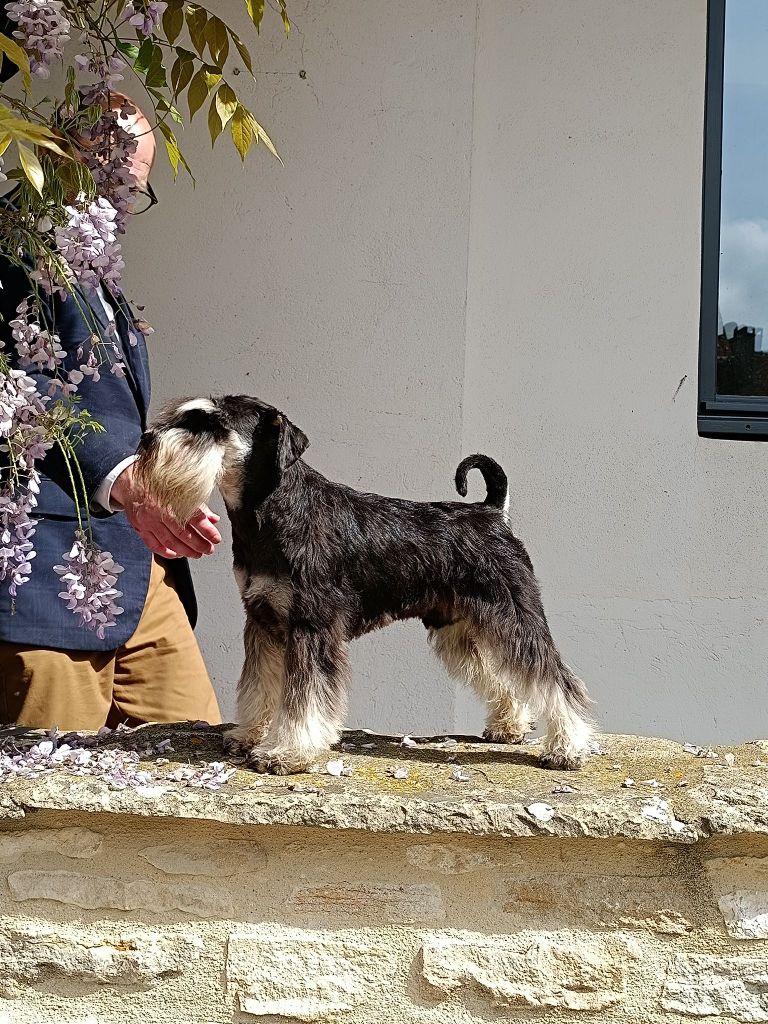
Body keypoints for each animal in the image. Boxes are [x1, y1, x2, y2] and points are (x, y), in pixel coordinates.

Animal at [137, 395, 593, 770]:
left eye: (213, 424)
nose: (145, 441)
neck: (272, 512)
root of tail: (492, 512)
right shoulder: (263, 620)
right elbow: (258, 684)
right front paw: (249, 734)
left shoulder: (311, 626)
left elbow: (303, 698)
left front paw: (287, 751)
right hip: (462, 629)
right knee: (502, 674)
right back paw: (508, 725)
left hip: (515, 618)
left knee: (553, 677)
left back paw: (569, 747)